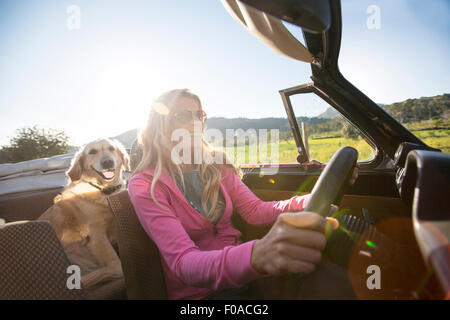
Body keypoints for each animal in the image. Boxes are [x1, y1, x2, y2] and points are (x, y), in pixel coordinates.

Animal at [38, 138, 130, 290]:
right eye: (92, 152)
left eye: (111, 148)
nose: (107, 162)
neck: (103, 190)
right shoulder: (96, 236)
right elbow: (115, 264)